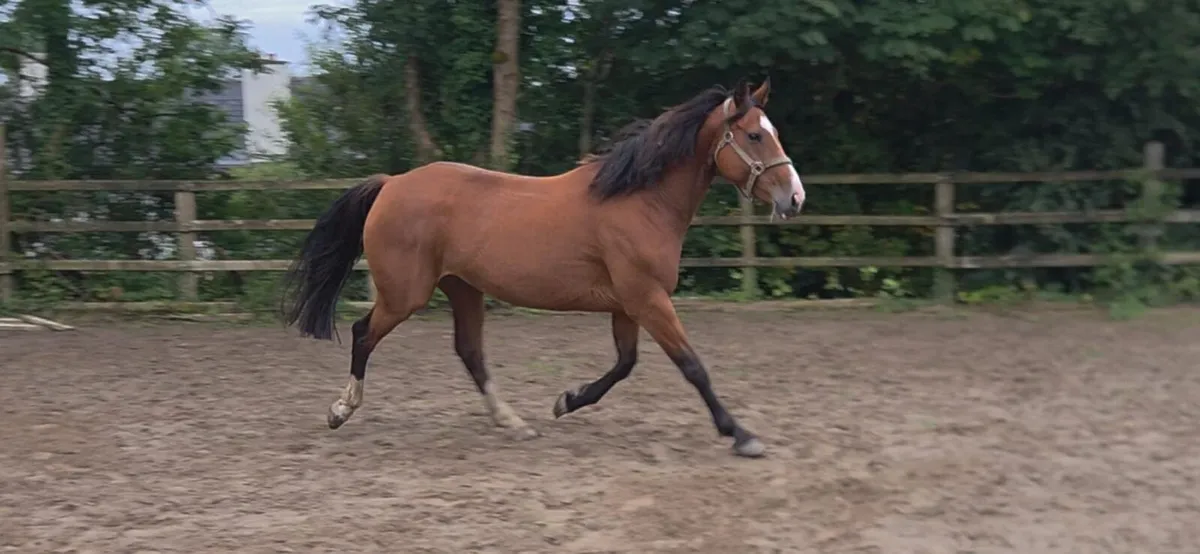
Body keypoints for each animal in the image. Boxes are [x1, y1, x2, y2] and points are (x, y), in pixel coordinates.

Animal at [280, 78, 804, 458]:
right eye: (755, 135)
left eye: (776, 132)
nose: (794, 198)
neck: (640, 200)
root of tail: (392, 184)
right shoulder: (648, 299)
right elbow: (692, 366)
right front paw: (741, 435)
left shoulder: (629, 305)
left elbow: (624, 364)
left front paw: (566, 401)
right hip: (406, 293)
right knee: (363, 332)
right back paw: (341, 410)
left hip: (463, 288)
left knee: (469, 351)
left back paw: (513, 423)